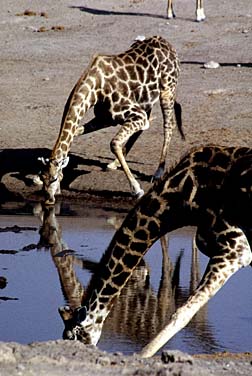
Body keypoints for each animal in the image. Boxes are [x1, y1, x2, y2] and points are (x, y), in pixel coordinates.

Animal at [39, 35, 185, 204]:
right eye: (42, 178)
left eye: (54, 179)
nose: (48, 200)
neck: (94, 89)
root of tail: (168, 44)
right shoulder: (106, 118)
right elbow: (75, 133)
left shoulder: (135, 114)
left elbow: (114, 143)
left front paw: (137, 190)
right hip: (145, 101)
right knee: (145, 126)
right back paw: (114, 163)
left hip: (167, 89)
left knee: (168, 124)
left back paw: (158, 172)